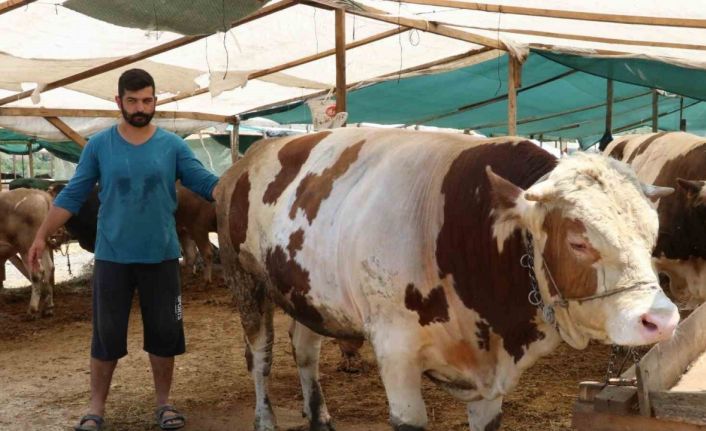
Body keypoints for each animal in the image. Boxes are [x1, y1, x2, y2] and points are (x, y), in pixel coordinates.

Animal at [0, 189, 54, 318]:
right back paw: (48, 308)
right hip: (41, 244)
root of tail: (40, 194)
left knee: (37, 274)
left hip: (26, 247)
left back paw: (32, 310)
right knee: (49, 268)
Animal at [217, 129, 680, 431]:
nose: (661, 320)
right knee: (260, 357)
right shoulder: (396, 351)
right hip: (246, 282)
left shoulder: (489, 381)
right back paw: (265, 419)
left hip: (306, 294)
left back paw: (320, 417)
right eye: (578, 241)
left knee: (304, 349)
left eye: (653, 234)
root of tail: (246, 160)